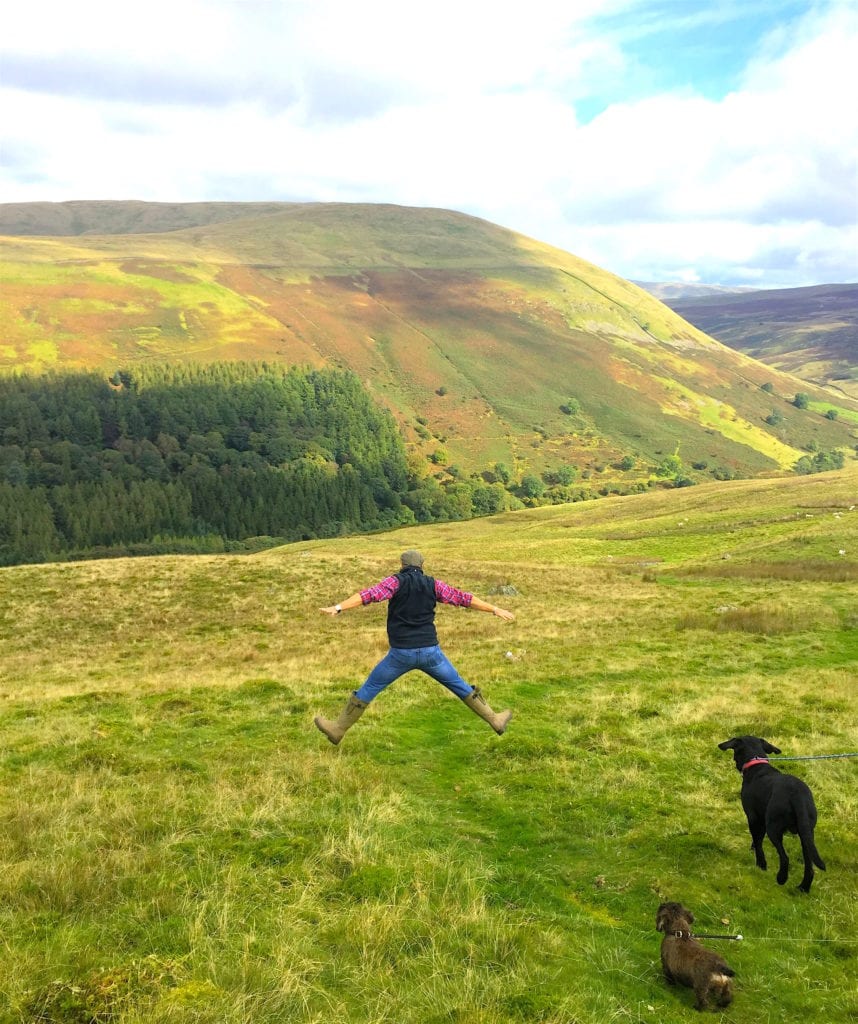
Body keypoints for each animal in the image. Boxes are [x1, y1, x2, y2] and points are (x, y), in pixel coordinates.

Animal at [720, 733, 831, 892]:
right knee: (809, 865)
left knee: (785, 857)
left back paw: (781, 878)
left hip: (774, 827)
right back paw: (803, 888)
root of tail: (797, 795)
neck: (757, 764)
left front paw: (761, 864)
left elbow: (758, 841)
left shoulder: (754, 818)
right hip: (807, 832)